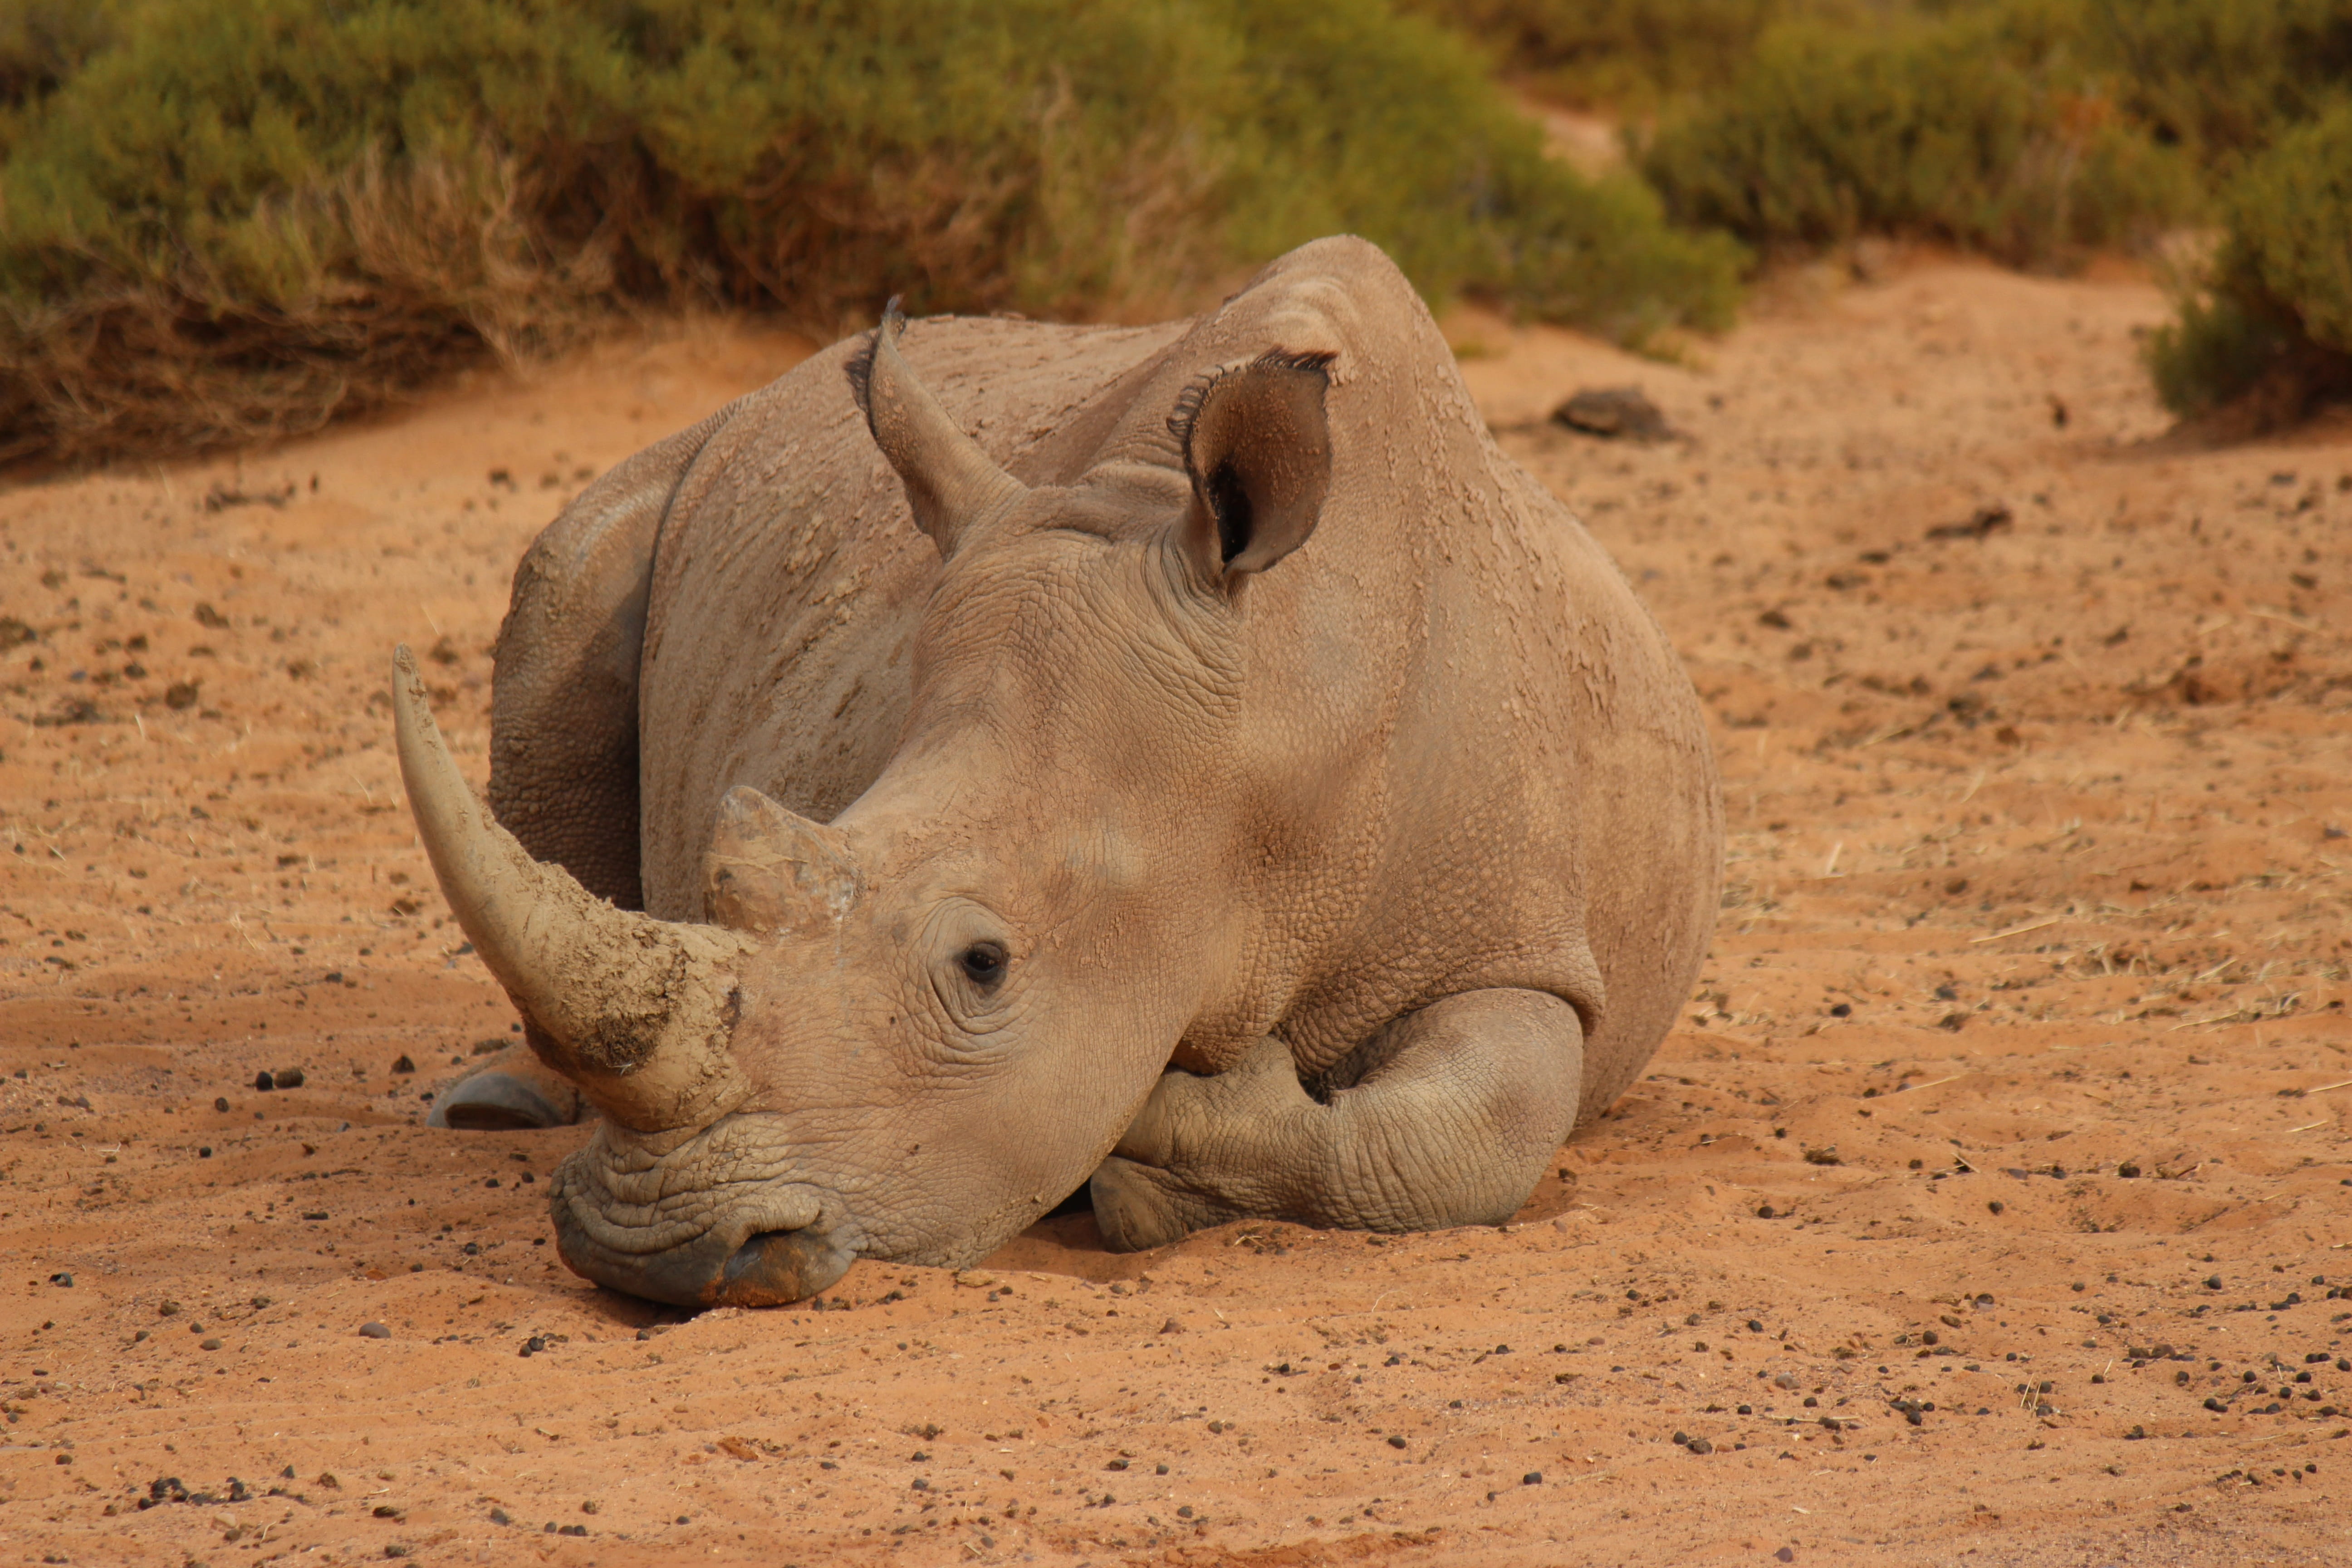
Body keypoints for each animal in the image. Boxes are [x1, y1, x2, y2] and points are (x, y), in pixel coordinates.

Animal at [394, 236, 1721, 1309]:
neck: (1285, 696)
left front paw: (1158, 1150)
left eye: (983, 965)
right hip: (678, 472)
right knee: (571, 571)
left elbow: (1476, 1136)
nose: (648, 1250)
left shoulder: (1516, 939)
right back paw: (494, 1108)